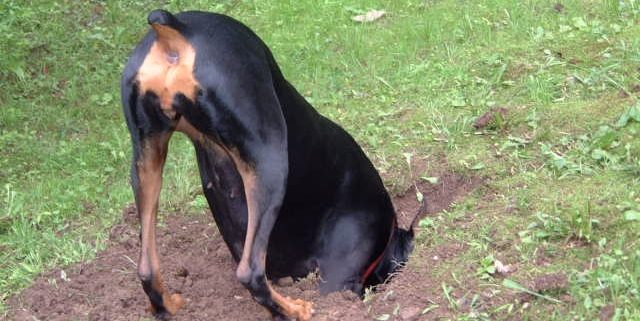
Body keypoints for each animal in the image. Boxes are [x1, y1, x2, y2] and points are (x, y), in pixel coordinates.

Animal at [122, 8, 418, 318]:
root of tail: (177, 29)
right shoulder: (338, 277)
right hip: (269, 161)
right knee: (250, 272)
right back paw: (293, 310)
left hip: (146, 159)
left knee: (146, 269)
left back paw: (168, 305)